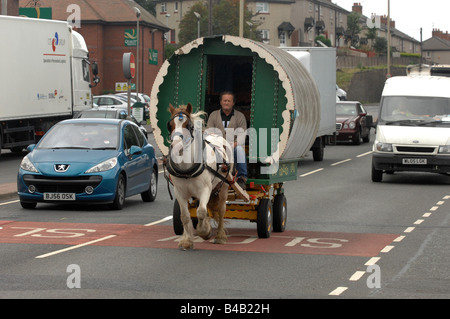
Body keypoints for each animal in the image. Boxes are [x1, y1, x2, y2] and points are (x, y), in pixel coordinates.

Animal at [167, 103, 234, 250]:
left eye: (189, 125)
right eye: (170, 125)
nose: (176, 146)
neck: (186, 169)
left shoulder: (205, 189)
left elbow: (201, 211)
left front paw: (204, 232)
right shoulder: (179, 191)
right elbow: (185, 216)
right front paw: (187, 241)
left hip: (224, 186)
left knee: (221, 210)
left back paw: (220, 236)